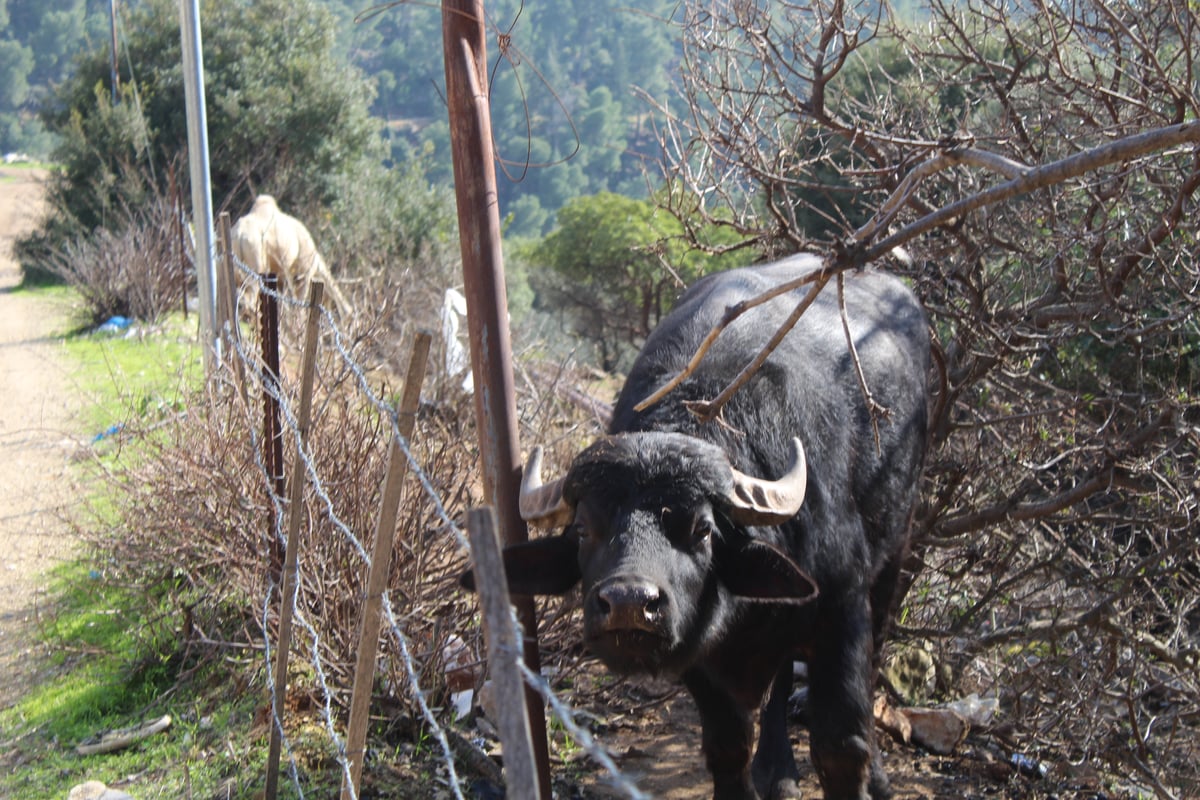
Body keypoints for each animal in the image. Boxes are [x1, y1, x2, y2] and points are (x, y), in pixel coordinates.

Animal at [475, 257, 926, 800]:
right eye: (583, 530)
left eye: (703, 529)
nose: (628, 605)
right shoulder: (697, 656)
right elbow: (728, 742)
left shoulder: (841, 610)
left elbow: (841, 745)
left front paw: (863, 772)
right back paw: (776, 771)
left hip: (896, 549)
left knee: (874, 649)